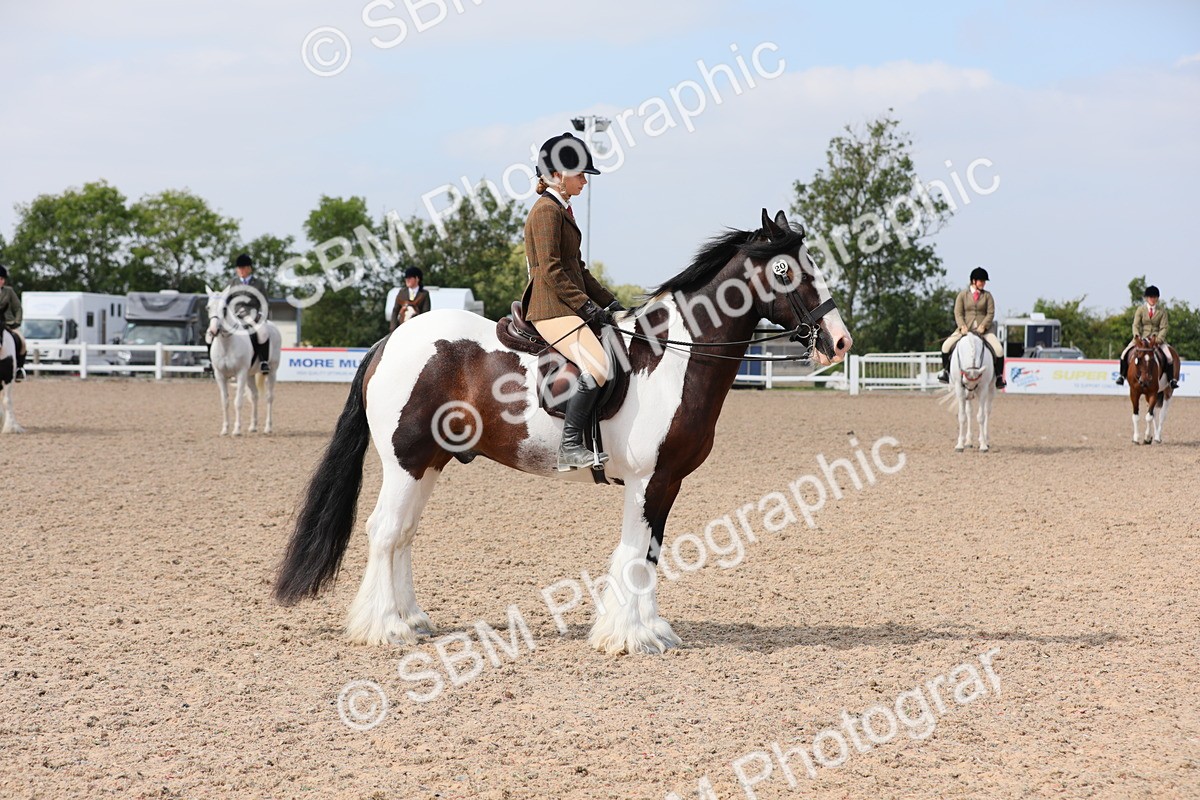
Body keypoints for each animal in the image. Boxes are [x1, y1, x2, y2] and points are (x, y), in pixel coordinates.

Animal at [204, 287, 281, 436]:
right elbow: (225, 402)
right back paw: (253, 426)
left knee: (269, 397)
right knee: (254, 396)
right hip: (250, 375)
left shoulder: (240, 374)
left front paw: (236, 430)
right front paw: (225, 429)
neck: (227, 343)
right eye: (208, 307)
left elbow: (238, 402)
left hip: (272, 371)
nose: (213, 331)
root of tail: (272, 326)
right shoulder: (219, 375)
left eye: (224, 309)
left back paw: (268, 428)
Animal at [273, 209, 853, 655]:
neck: (671, 359)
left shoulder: (667, 482)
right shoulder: (647, 480)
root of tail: (389, 342)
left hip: (428, 463)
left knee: (405, 533)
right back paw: (384, 627)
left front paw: (649, 631)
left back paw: (412, 619)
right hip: (405, 461)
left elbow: (650, 552)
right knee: (385, 531)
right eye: (787, 270)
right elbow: (634, 552)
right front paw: (629, 637)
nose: (840, 342)